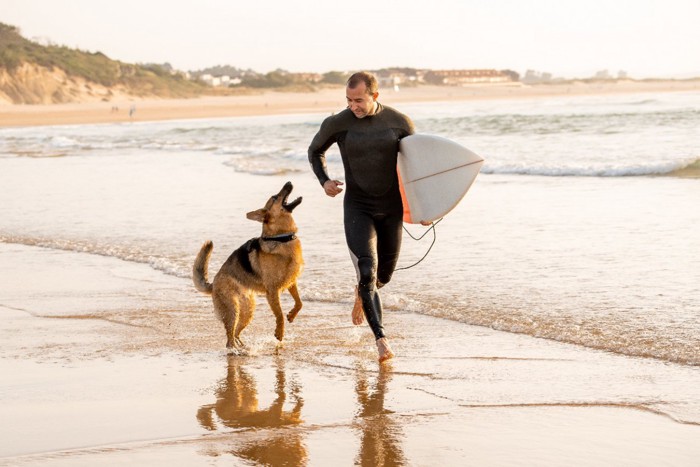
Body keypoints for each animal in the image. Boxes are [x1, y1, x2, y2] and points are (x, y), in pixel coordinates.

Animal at [193, 183, 302, 352]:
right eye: (275, 197)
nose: (289, 182)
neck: (281, 238)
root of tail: (213, 284)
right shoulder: (272, 291)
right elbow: (279, 314)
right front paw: (279, 333)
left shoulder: (291, 282)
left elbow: (299, 302)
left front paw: (292, 314)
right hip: (232, 310)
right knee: (229, 338)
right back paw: (235, 351)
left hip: (248, 311)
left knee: (236, 333)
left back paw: (243, 347)